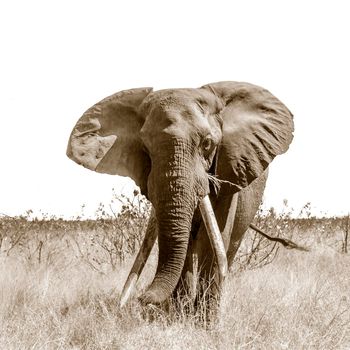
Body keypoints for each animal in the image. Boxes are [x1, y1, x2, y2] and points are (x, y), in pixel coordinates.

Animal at [65, 80, 292, 308]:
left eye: (207, 144)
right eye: (145, 147)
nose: (142, 299)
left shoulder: (231, 168)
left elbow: (214, 240)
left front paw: (203, 317)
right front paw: (179, 311)